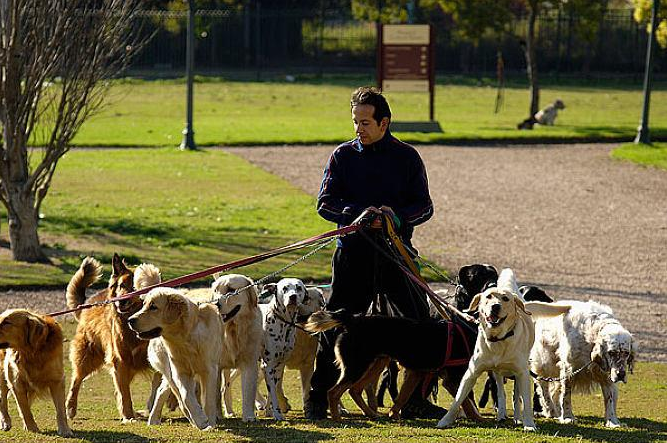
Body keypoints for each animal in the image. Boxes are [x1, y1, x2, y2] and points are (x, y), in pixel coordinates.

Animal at [0, 310, 73, 438]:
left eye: (7, 322)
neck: (33, 353)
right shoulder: (16, 383)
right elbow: (25, 409)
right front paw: (32, 428)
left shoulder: (57, 381)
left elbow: (61, 410)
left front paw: (65, 430)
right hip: (4, 375)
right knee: (3, 400)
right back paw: (5, 422)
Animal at [65, 255, 162, 422]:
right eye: (121, 285)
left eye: (135, 288)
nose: (120, 301)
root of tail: (85, 305)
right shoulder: (120, 360)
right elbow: (125, 394)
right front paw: (128, 416)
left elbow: (156, 383)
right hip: (88, 357)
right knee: (76, 380)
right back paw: (71, 408)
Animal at [436, 268, 572, 432]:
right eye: (488, 296)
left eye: (505, 299)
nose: (495, 306)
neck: (498, 339)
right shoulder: (471, 372)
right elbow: (458, 398)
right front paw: (445, 420)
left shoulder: (522, 373)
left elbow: (525, 402)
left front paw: (529, 424)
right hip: (497, 373)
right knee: (501, 391)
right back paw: (501, 414)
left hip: (519, 372)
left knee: (516, 396)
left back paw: (517, 418)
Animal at [532, 300, 636, 428]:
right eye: (611, 352)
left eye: (626, 353)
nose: (621, 374)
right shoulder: (568, 369)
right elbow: (566, 396)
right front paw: (568, 417)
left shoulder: (606, 375)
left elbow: (609, 398)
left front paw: (612, 421)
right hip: (546, 364)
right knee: (543, 387)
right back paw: (551, 410)